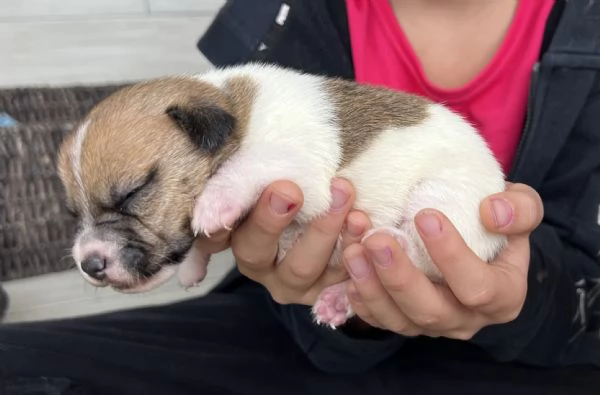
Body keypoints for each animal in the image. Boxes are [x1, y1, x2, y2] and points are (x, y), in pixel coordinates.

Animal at [57, 62, 506, 328]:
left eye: (133, 193)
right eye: (72, 213)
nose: (89, 263)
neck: (236, 108)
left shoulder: (299, 168)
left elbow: (248, 164)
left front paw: (213, 203)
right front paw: (194, 264)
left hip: (444, 199)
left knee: (422, 250)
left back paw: (386, 239)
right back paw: (339, 298)